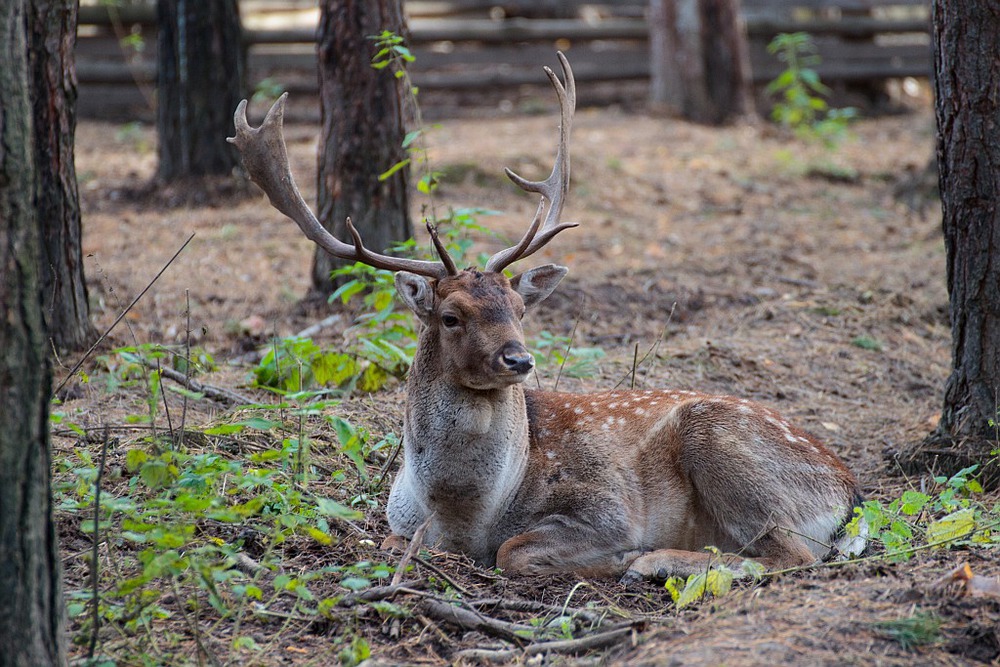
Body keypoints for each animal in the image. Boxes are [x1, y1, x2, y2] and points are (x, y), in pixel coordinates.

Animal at [229, 54, 868, 580]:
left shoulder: (607, 505)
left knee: (793, 553)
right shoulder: (396, 524)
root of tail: (850, 493)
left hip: (721, 443)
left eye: (518, 308)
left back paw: (654, 562)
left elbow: (514, 551)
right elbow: (390, 543)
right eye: (451, 316)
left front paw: (623, 557)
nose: (520, 359)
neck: (464, 515)